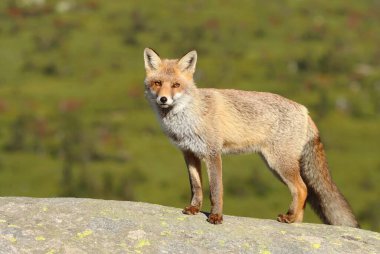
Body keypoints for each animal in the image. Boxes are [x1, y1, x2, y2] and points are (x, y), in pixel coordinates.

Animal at [142, 47, 360, 226]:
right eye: (157, 83)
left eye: (176, 85)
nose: (163, 99)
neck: (189, 116)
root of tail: (304, 110)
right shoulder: (189, 153)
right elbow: (196, 187)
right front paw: (194, 208)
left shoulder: (213, 153)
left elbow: (216, 190)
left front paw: (216, 216)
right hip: (274, 166)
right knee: (302, 191)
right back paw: (295, 220)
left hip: (279, 164)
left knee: (303, 188)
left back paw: (290, 219)